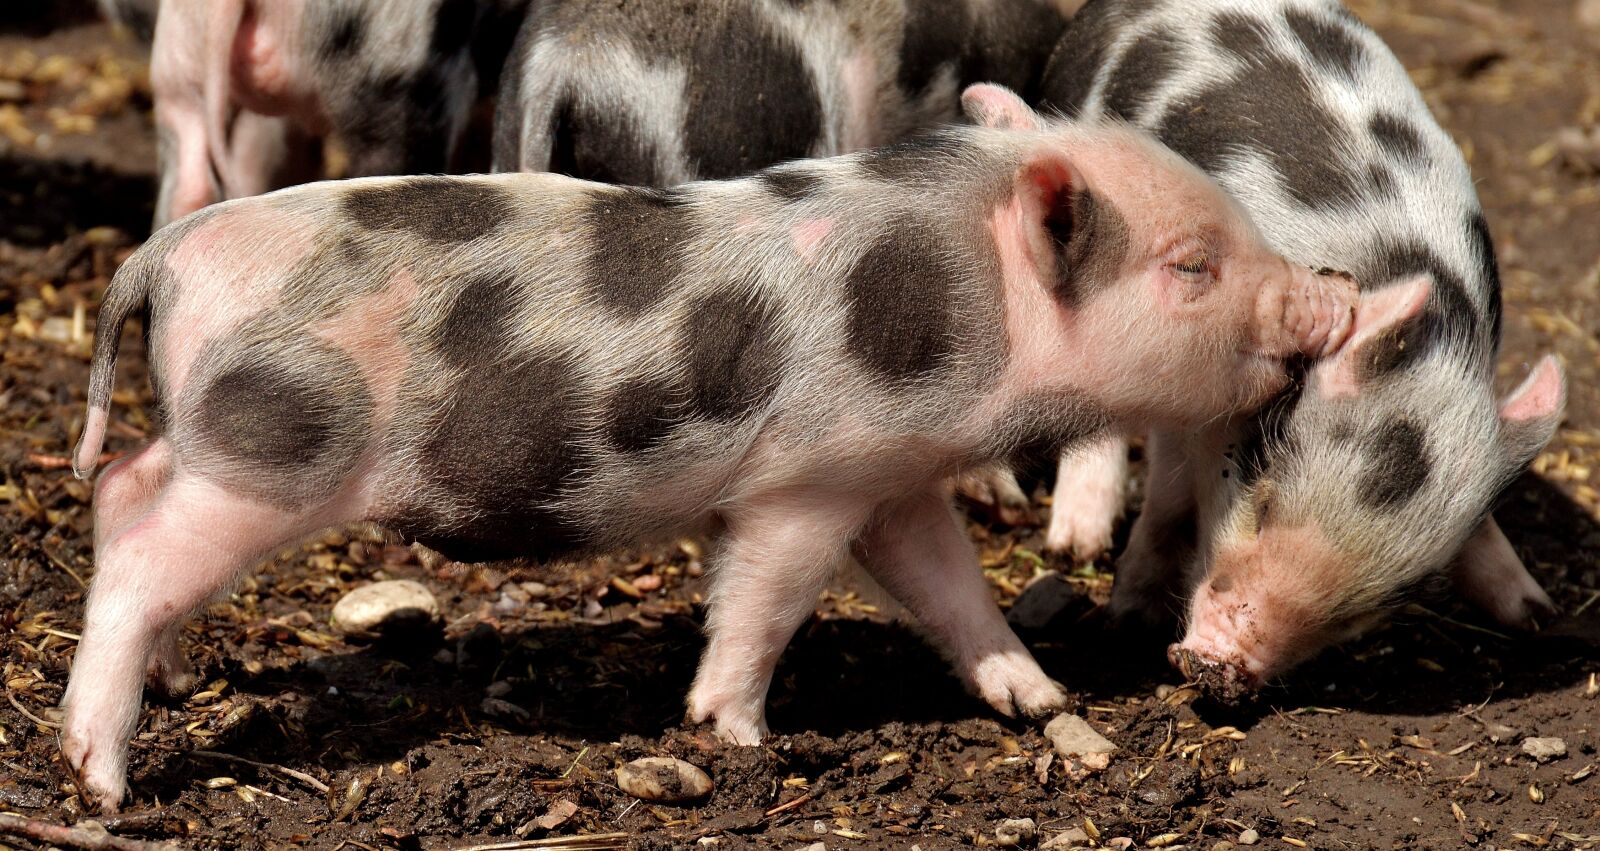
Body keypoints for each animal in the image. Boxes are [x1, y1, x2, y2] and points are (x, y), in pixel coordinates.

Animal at [60, 85, 1363, 809]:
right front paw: (738, 736)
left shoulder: (891, 478)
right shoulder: (806, 478)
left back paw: (172, 685)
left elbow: (953, 591)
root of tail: (163, 255)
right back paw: (101, 777)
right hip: (269, 447)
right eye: (1189, 265)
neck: (959, 303)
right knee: (137, 552)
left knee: (123, 490)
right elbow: (762, 602)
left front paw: (1037, 697)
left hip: (211, 440)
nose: (1337, 293)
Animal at [1032, 0, 1565, 694]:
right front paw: (1126, 619)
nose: (1218, 665)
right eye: (1262, 502)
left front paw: (1536, 616)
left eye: (1372, 606)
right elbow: (1170, 490)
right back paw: (1075, 545)